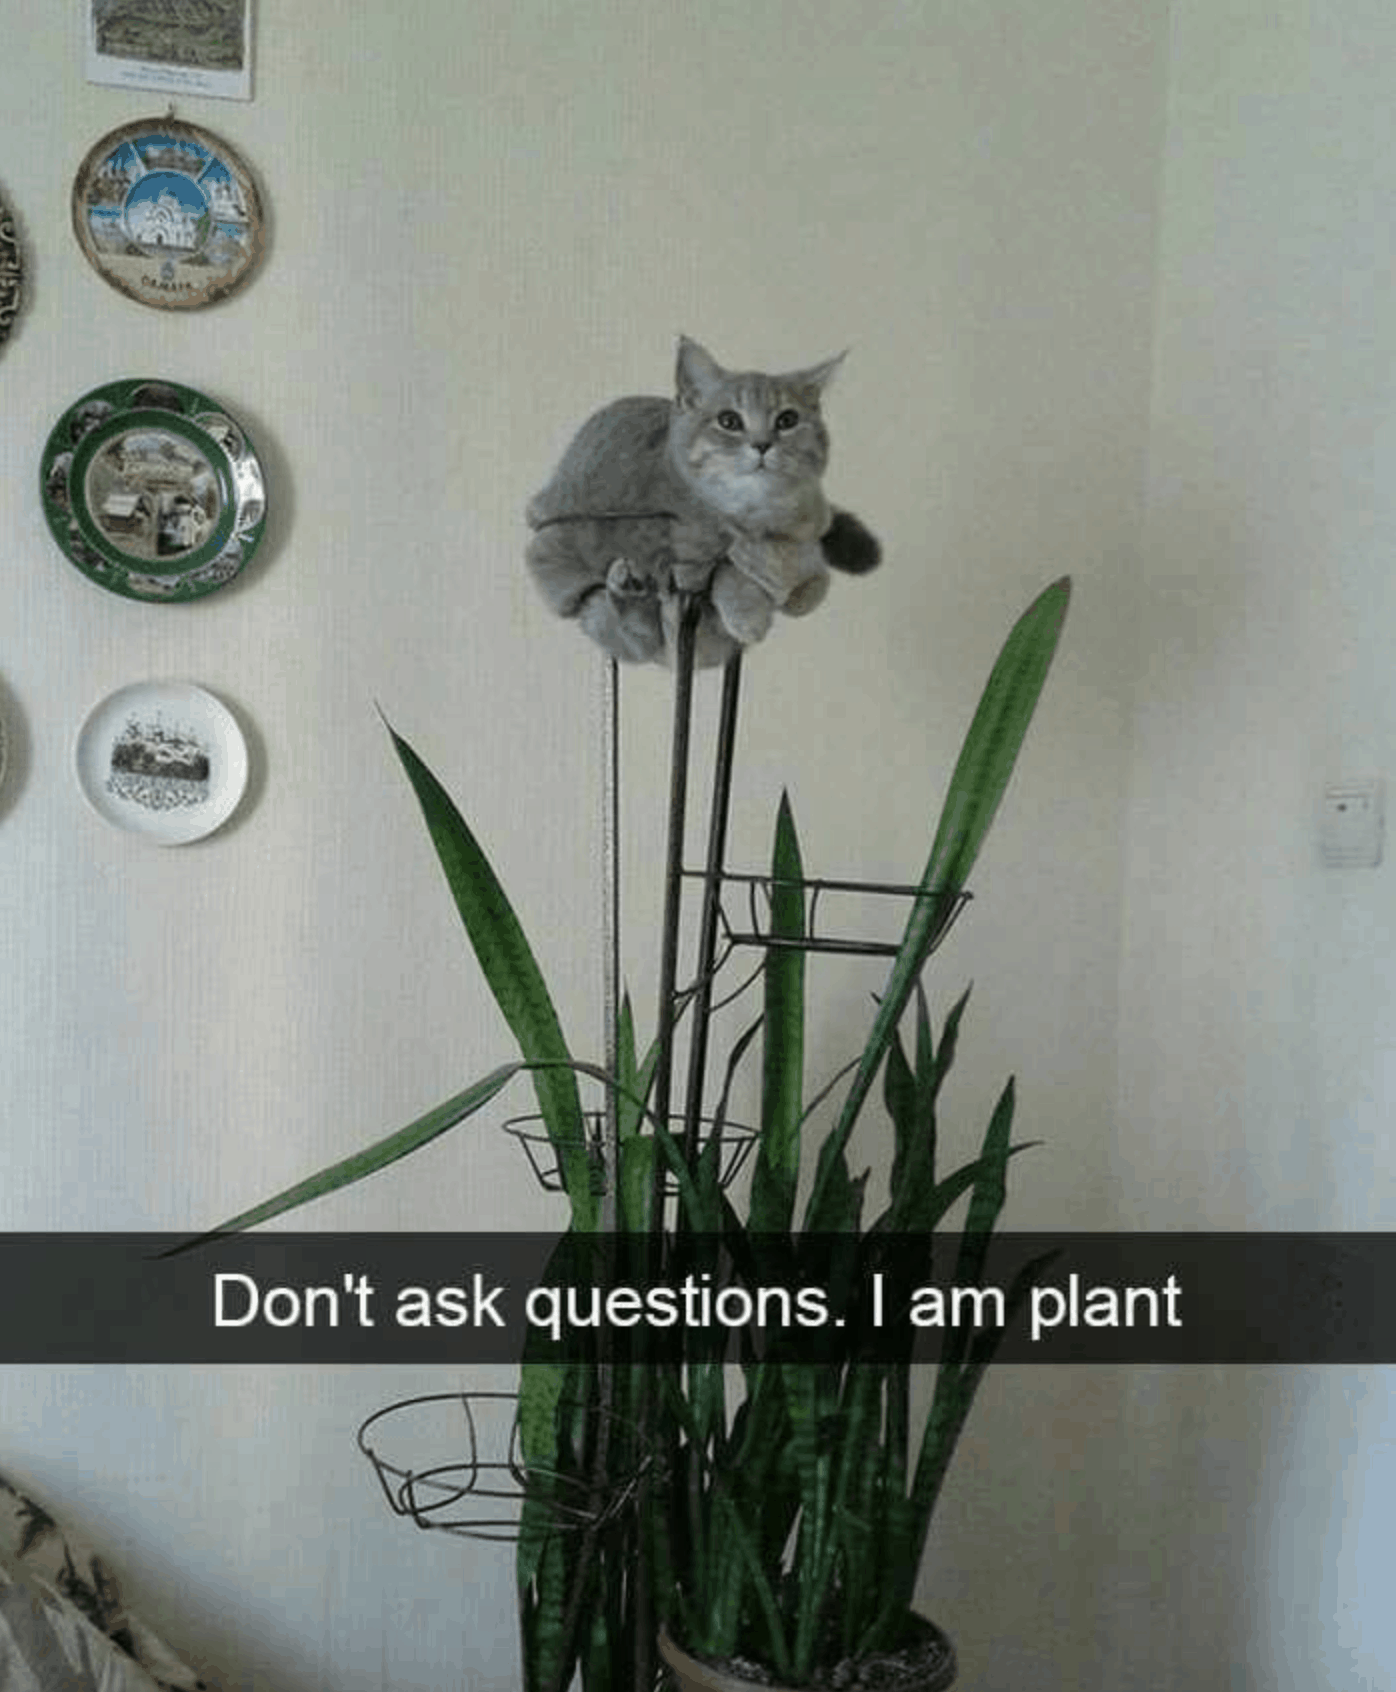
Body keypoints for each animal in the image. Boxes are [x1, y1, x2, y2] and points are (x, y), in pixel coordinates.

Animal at [525, 337, 880, 666]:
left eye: (787, 420)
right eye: (729, 421)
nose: (762, 444)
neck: (758, 516)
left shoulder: (811, 535)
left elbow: (814, 586)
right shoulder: (675, 558)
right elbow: (722, 570)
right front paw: (748, 611)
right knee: (631, 632)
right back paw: (629, 590)